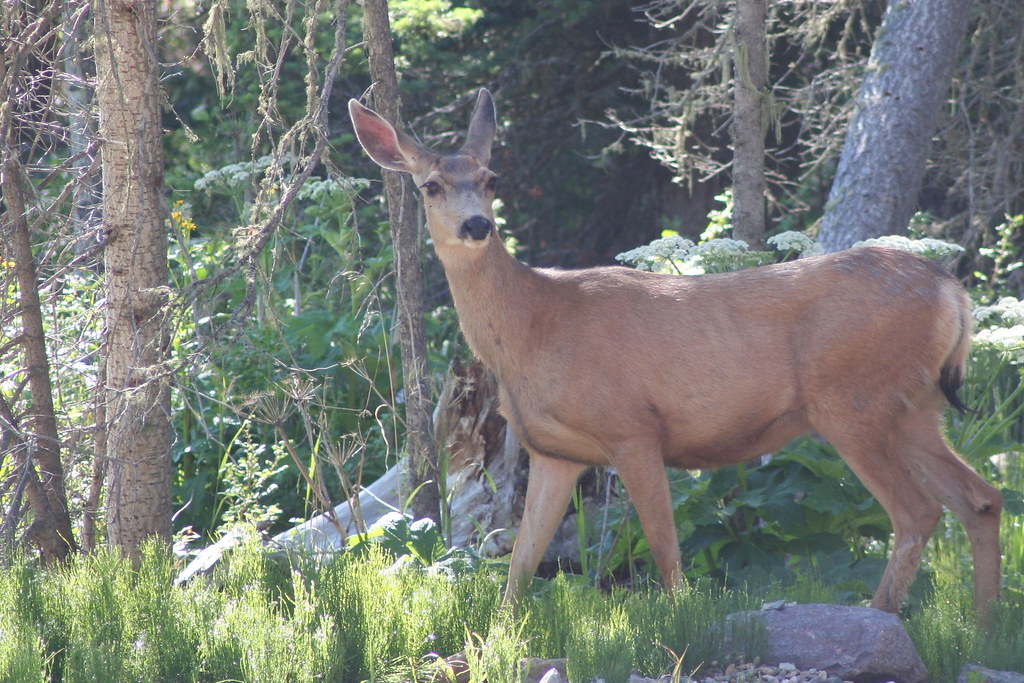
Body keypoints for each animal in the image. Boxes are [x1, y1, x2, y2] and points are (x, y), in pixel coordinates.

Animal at [348, 89, 1002, 618]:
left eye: (491, 179)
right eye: (431, 185)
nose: (478, 226)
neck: (533, 327)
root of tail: (951, 290)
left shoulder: (634, 428)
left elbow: (665, 551)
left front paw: (683, 624)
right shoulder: (556, 451)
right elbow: (520, 565)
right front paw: (499, 639)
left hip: (852, 400)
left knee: (918, 511)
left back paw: (884, 615)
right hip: (914, 406)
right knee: (980, 498)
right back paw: (984, 626)